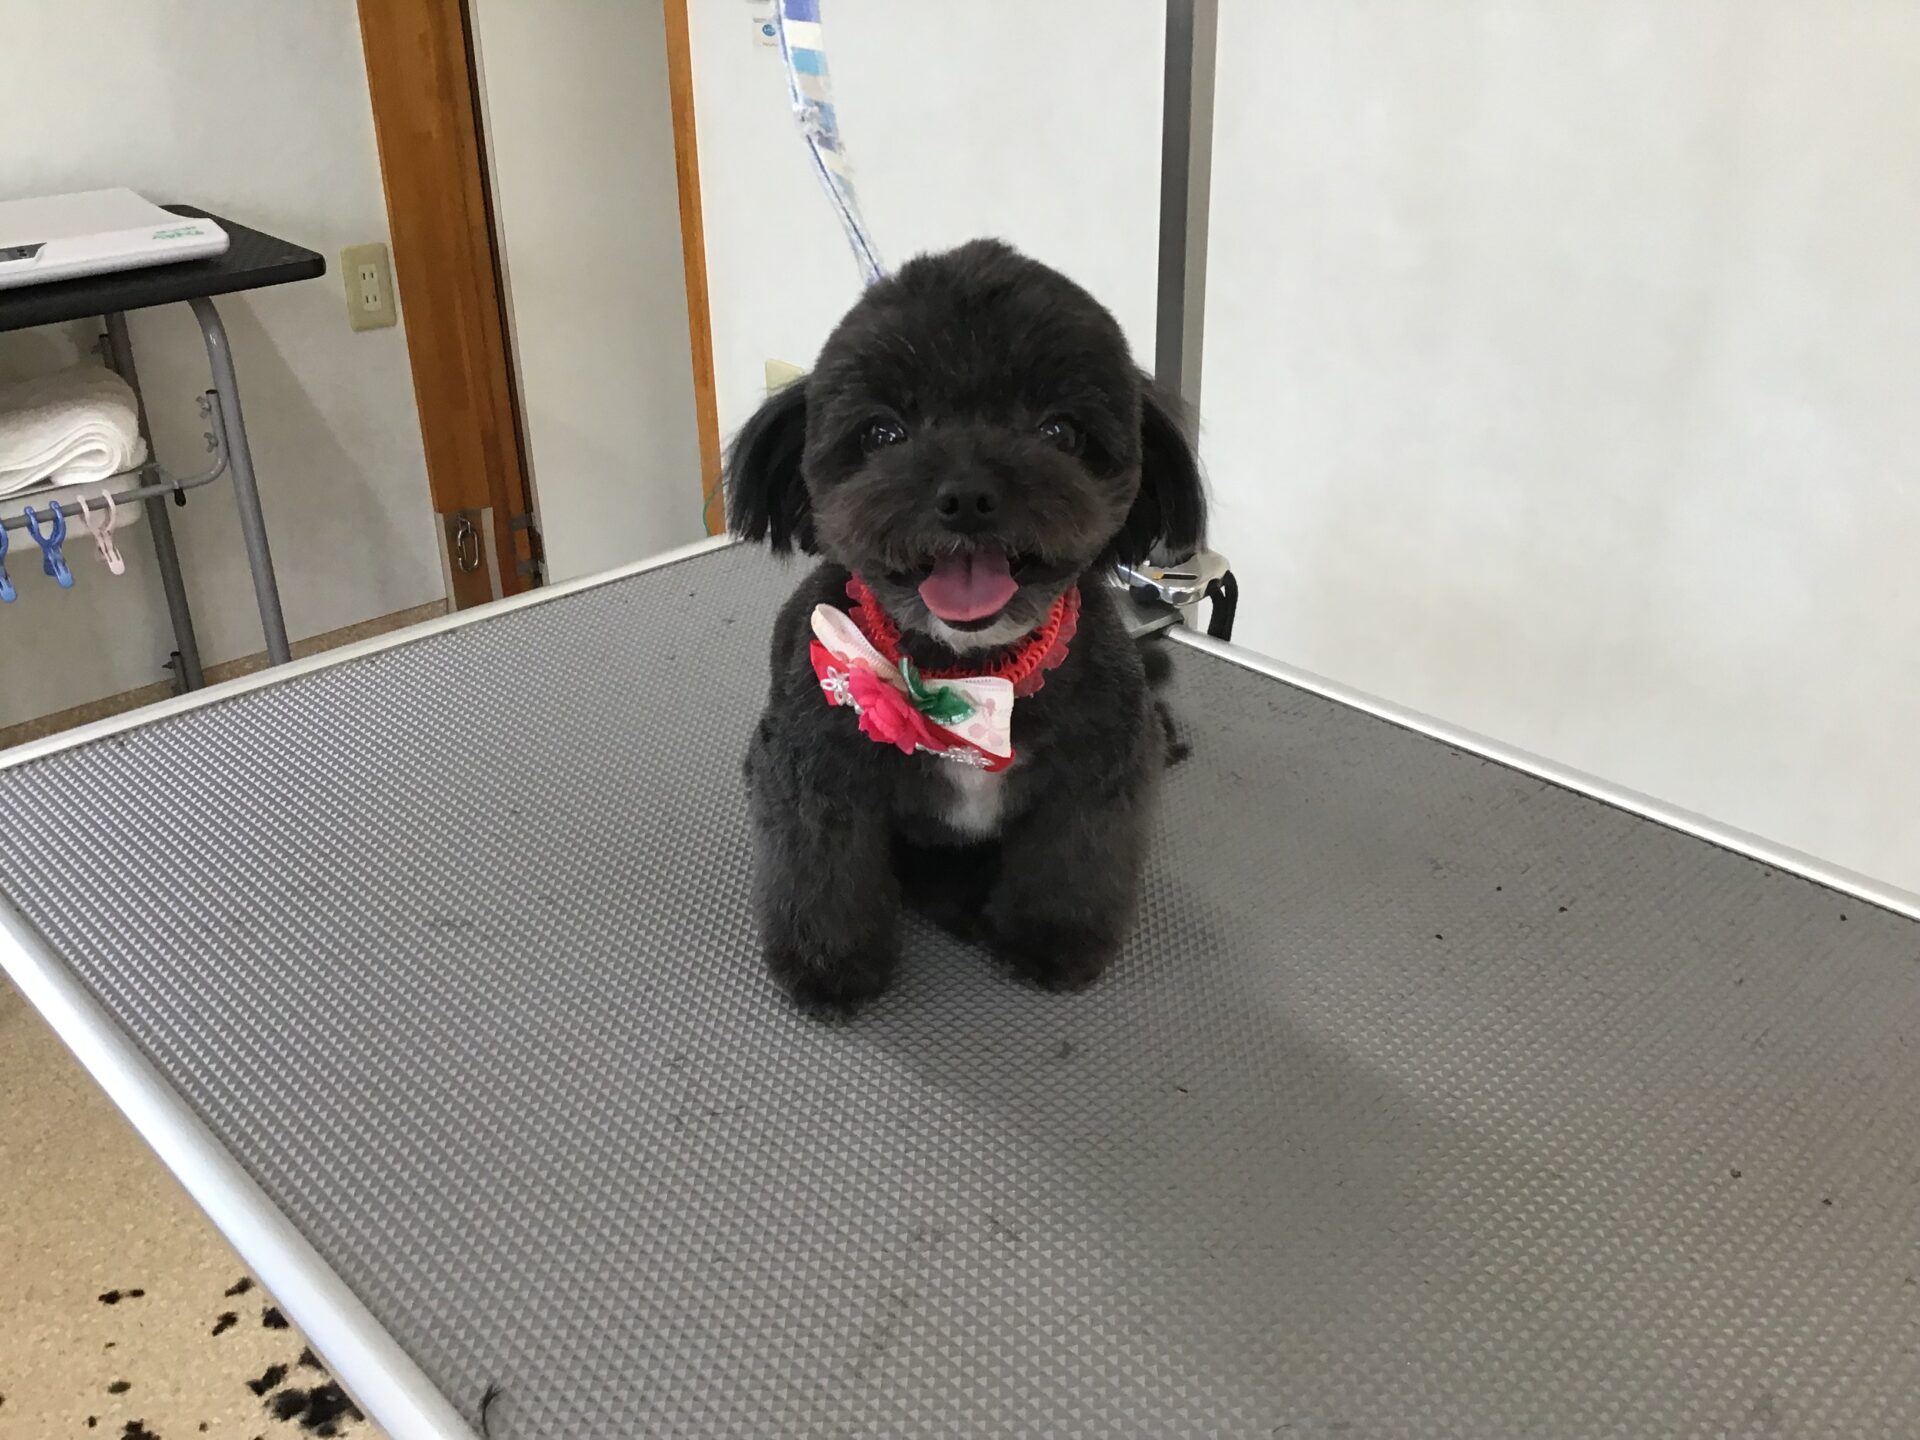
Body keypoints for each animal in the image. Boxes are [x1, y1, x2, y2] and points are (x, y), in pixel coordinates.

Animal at [726, 238, 1204, 1013]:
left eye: (1059, 430)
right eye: (883, 432)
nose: (969, 496)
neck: (968, 670)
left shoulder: (1096, 773)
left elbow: (1071, 864)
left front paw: (1050, 941)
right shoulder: (814, 772)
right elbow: (823, 872)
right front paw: (830, 965)